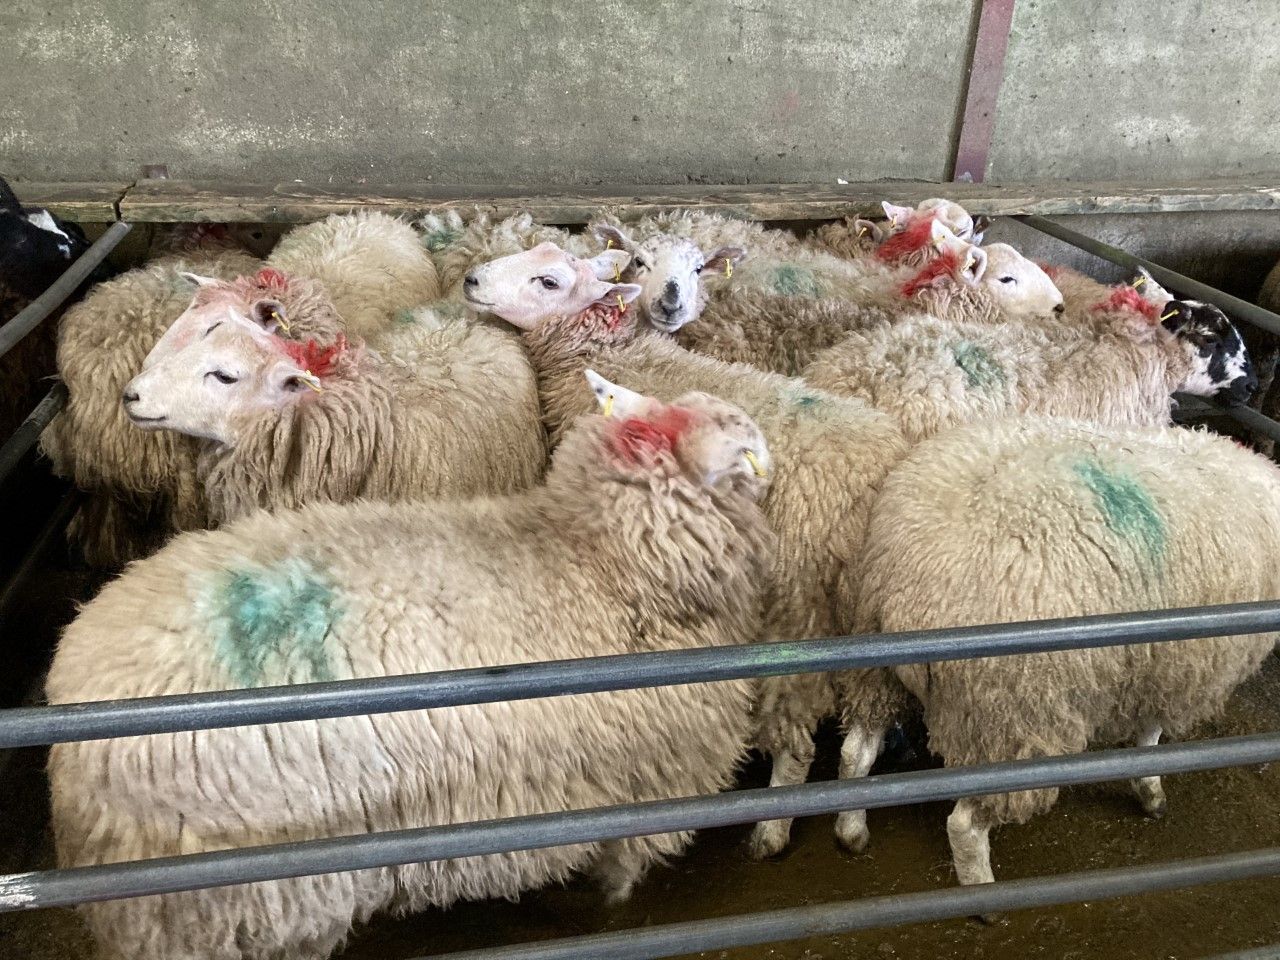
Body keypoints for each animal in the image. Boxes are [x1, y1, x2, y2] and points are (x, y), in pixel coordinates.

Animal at [47, 380, 776, 960]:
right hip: (234, 900)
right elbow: (627, 856)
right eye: (735, 440)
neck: (596, 562)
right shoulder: (657, 776)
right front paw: (615, 895)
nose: (768, 452)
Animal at [466, 241, 911, 859]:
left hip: (800, 610)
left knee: (798, 739)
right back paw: (851, 823)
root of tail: (868, 481)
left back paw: (772, 829)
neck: (618, 359)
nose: (470, 279)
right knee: (862, 736)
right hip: (870, 618)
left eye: (549, 280)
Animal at [850, 415, 1280, 886]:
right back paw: (981, 887)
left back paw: (851, 831)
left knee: (856, 751)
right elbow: (1152, 734)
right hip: (1010, 712)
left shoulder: (1162, 661)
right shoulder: (1184, 665)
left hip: (877, 667)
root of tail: (912, 581)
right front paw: (1151, 790)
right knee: (964, 825)